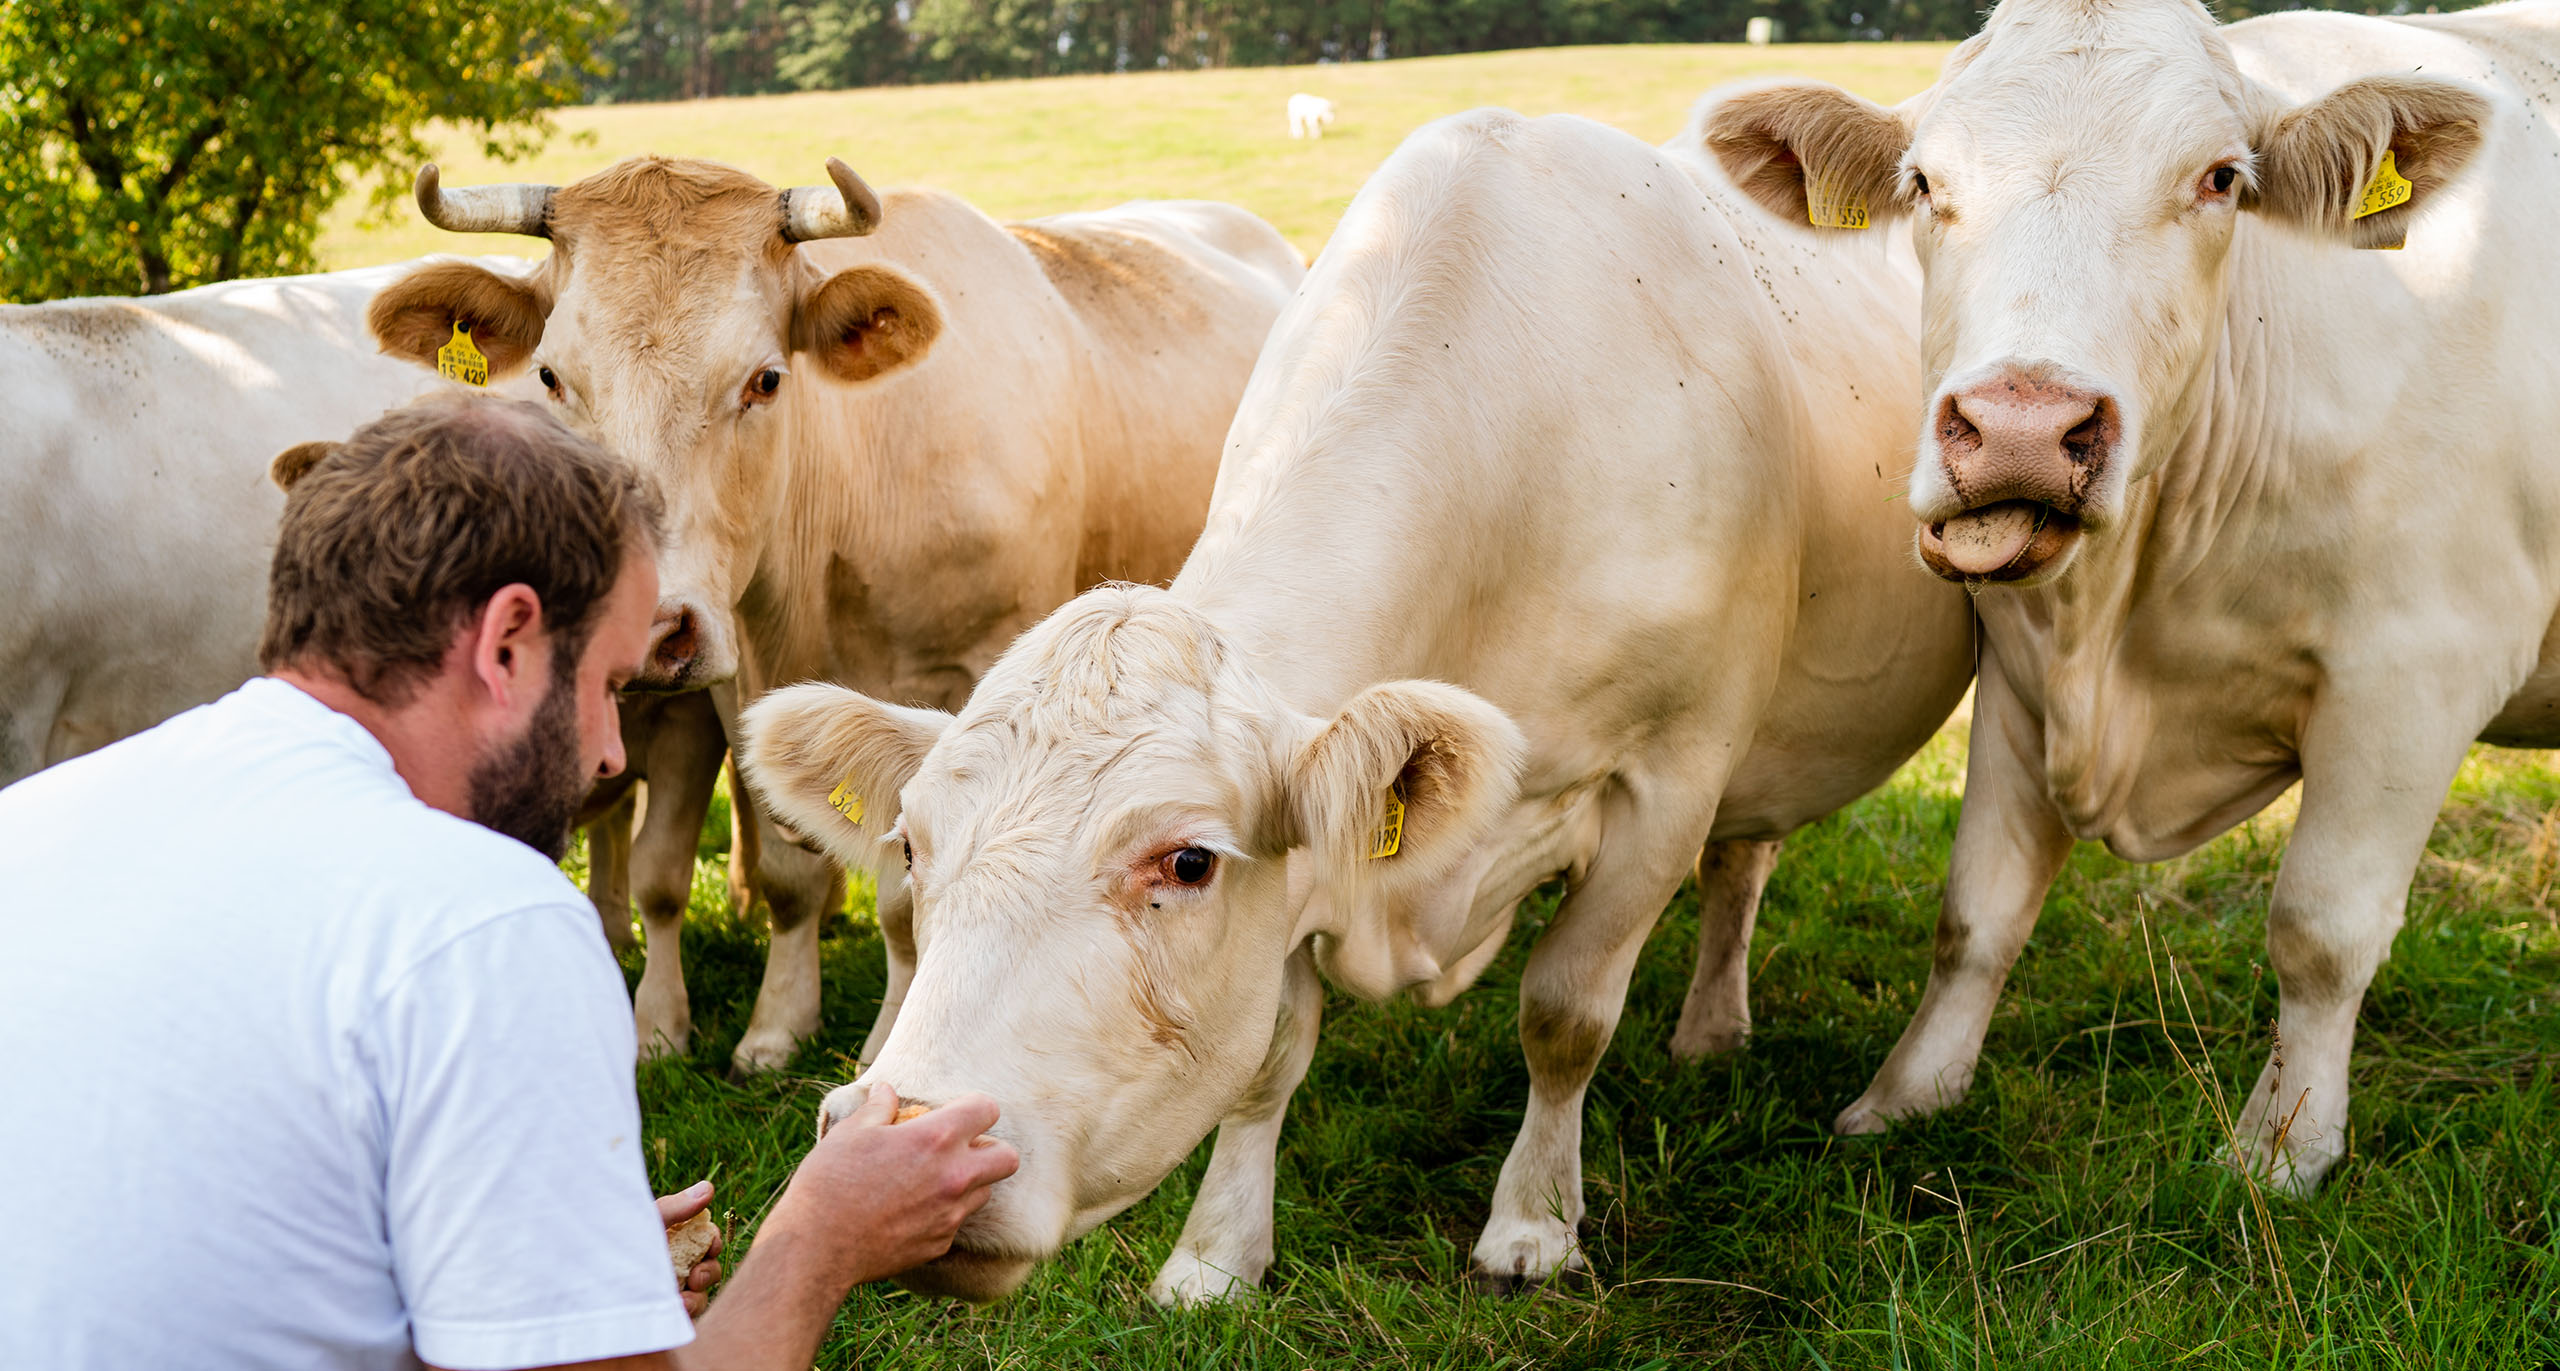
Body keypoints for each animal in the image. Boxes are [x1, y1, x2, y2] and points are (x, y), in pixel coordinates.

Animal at [373, 152, 1300, 1069]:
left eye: (765, 378)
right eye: (552, 376)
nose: (649, 624)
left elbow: (908, 902)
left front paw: (884, 1038)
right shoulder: (733, 687)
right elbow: (788, 871)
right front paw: (777, 1023)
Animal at [742, 104, 1976, 1294]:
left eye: (1186, 861)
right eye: (910, 846)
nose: (900, 1137)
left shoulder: (1670, 775)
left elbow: (1565, 1013)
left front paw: (1533, 1222)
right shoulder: (1304, 860)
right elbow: (1269, 1058)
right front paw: (1215, 1254)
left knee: (1740, 863)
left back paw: (1710, 1024)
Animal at [1699, 0, 2560, 1186]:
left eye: (2219, 180)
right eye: (1922, 182)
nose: (2020, 426)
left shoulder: (2416, 673)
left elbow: (2321, 930)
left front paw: (2281, 1148)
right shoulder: (2019, 671)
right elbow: (1976, 913)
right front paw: (1906, 1096)